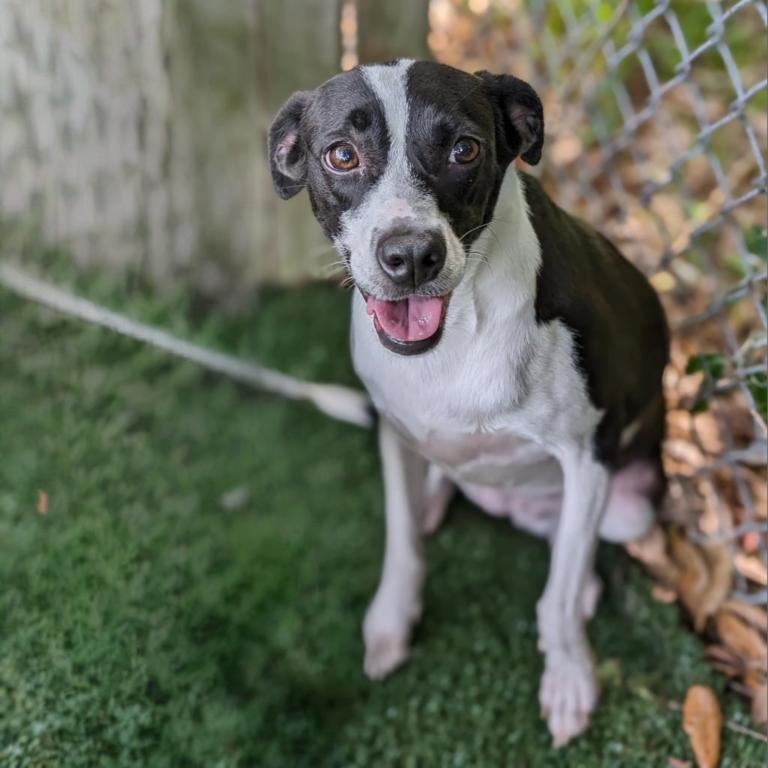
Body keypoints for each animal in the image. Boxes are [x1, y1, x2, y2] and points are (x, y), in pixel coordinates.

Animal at [268, 63, 668, 748]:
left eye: (464, 149)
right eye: (341, 155)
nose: (409, 257)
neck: (455, 334)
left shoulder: (588, 456)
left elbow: (558, 597)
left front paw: (569, 676)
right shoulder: (393, 431)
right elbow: (402, 542)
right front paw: (391, 622)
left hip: (630, 508)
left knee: (572, 550)